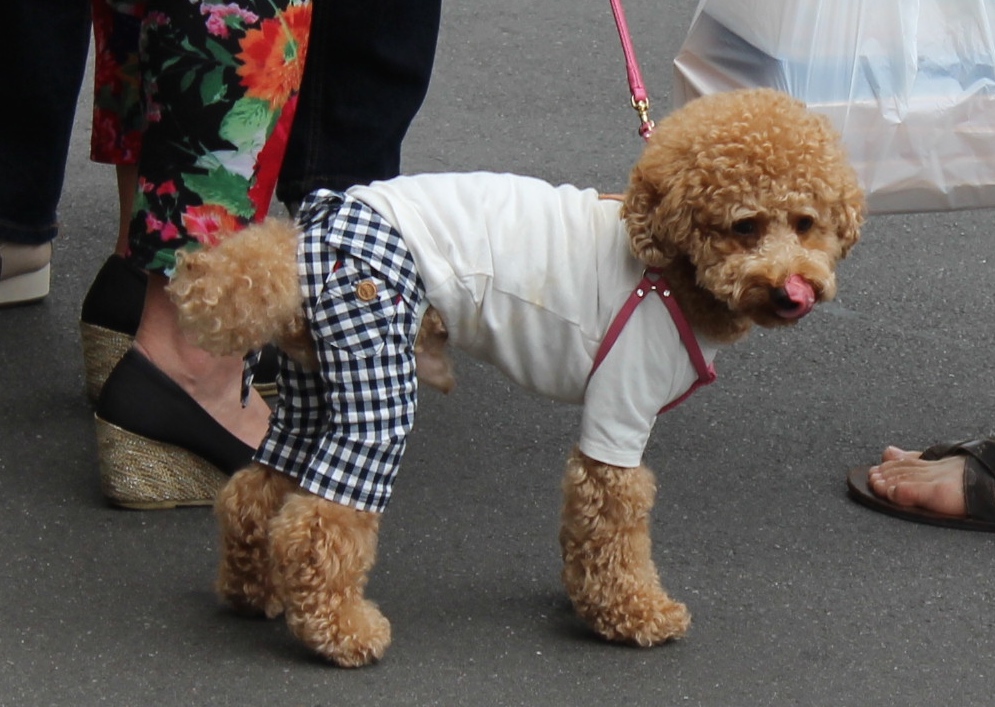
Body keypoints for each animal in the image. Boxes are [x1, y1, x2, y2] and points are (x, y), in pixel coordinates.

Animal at [168, 88, 864, 667]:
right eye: (745, 226)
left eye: (805, 223)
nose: (795, 290)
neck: (670, 266)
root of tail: (312, 232)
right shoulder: (619, 410)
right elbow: (615, 518)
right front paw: (633, 614)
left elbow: (586, 530)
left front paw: (587, 596)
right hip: (375, 355)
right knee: (318, 521)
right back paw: (340, 633)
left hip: (316, 376)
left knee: (256, 490)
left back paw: (253, 590)